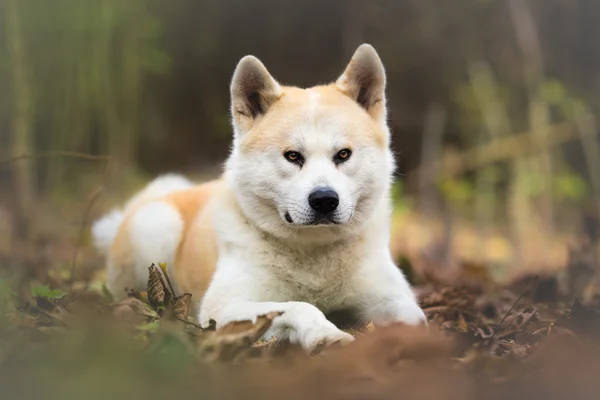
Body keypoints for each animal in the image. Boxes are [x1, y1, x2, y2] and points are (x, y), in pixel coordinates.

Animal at [91, 44, 426, 354]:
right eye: (293, 156)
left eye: (343, 155)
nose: (324, 200)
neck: (314, 258)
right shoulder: (224, 306)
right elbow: (299, 306)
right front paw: (324, 334)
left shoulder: (395, 301)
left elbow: (413, 320)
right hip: (158, 225)